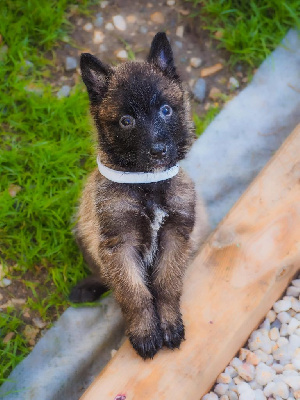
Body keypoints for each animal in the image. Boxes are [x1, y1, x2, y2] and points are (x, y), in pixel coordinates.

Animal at [69, 32, 209, 360]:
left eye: (165, 110)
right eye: (126, 121)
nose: (158, 151)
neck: (147, 184)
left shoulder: (176, 236)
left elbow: (167, 285)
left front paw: (169, 324)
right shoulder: (119, 246)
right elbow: (134, 294)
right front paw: (145, 332)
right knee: (102, 276)